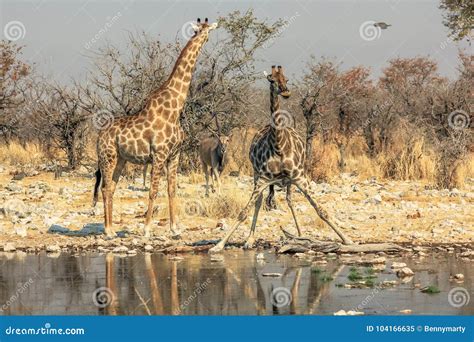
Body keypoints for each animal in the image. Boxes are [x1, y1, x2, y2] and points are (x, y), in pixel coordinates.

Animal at [93, 18, 219, 238]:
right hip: (107, 157)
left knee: (111, 188)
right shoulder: (159, 154)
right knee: (105, 188)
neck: (175, 108)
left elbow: (172, 190)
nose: (206, 36)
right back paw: (108, 230)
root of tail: (99, 135)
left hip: (121, 159)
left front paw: (175, 228)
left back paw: (112, 228)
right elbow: (153, 191)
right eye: (205, 30)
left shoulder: (174, 155)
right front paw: (146, 228)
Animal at [210, 65, 352, 252]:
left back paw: (300, 235)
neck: (278, 146)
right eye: (271, 79)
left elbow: (321, 210)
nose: (285, 92)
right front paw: (219, 245)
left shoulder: (300, 177)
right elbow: (243, 212)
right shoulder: (263, 179)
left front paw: (347, 239)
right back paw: (250, 239)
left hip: (292, 180)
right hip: (256, 174)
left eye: (286, 78)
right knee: (259, 201)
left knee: (290, 200)